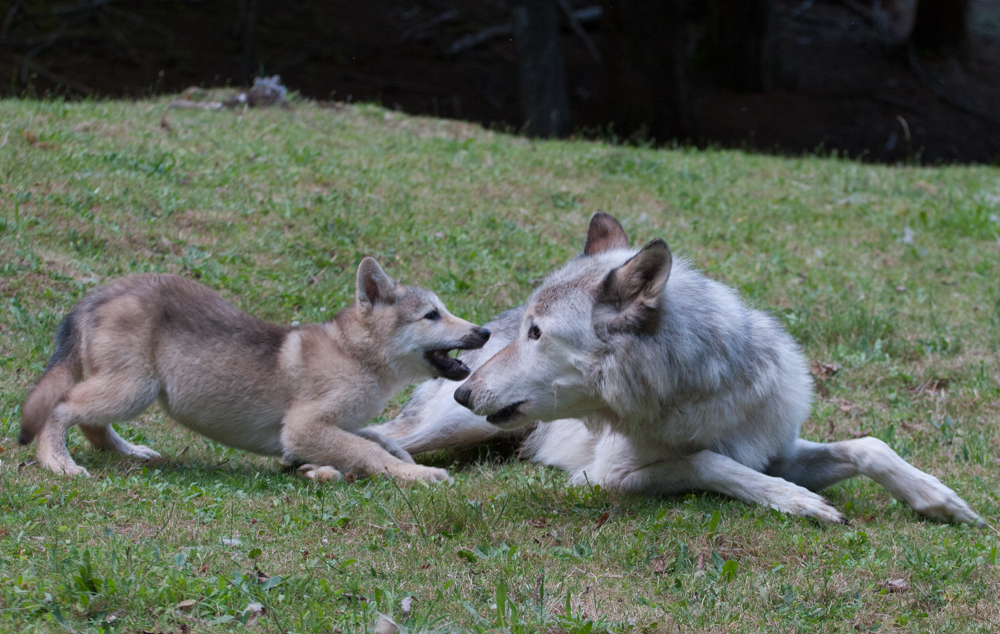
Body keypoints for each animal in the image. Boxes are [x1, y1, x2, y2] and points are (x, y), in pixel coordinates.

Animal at [20, 256, 492, 478]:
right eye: (431, 315)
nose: (485, 332)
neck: (355, 355)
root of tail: (97, 294)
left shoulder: (337, 425)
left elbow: (376, 437)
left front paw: (402, 460)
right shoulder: (302, 428)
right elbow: (369, 450)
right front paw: (417, 475)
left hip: (127, 389)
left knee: (93, 426)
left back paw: (129, 451)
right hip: (132, 388)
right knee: (61, 408)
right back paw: (58, 462)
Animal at [372, 214, 980, 524]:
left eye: (537, 333)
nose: (464, 390)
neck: (698, 391)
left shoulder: (776, 448)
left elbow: (869, 445)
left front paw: (939, 500)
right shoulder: (608, 477)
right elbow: (709, 463)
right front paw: (798, 501)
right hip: (453, 431)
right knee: (379, 436)